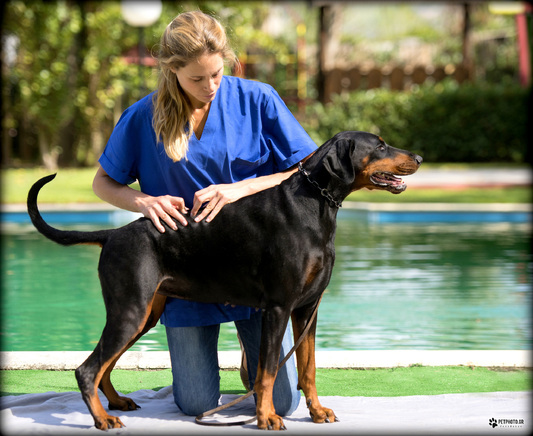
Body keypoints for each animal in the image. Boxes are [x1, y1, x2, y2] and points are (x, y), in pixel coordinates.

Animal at [28, 131, 420, 430]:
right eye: (380, 146)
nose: (417, 156)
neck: (314, 206)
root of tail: (112, 235)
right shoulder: (278, 308)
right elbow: (266, 372)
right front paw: (267, 418)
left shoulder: (307, 309)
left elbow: (307, 368)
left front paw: (317, 411)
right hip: (131, 310)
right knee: (87, 369)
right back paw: (101, 419)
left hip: (143, 315)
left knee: (104, 366)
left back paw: (115, 404)